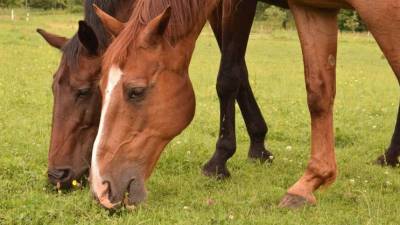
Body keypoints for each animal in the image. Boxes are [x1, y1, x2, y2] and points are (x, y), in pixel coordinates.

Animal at [93, 0, 400, 209]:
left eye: (135, 91)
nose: (101, 188)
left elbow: (228, 76)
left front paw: (219, 162)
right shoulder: (312, 9)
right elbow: (318, 92)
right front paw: (308, 183)